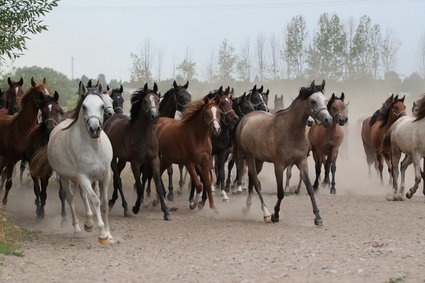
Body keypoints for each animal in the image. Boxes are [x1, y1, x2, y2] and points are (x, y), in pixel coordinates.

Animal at [0, 77, 49, 206]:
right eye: (39, 93)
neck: (23, 129)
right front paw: (4, 202)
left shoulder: (31, 159)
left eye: (49, 92)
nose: (16, 108)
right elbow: (9, 181)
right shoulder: (11, 159)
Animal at [46, 81, 114, 244]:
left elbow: (104, 202)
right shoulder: (83, 177)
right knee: (70, 198)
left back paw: (88, 223)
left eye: (102, 106)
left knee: (83, 196)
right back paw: (77, 226)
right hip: (65, 177)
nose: (95, 129)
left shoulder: (105, 176)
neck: (94, 147)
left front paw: (109, 233)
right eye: (84, 106)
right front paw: (102, 234)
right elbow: (95, 200)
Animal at [232, 80, 332, 226]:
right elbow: (280, 192)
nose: (328, 120)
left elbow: (310, 188)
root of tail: (244, 119)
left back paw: (247, 208)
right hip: (249, 156)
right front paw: (275, 215)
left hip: (259, 160)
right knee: (256, 181)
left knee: (252, 180)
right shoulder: (278, 166)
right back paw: (266, 213)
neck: (290, 131)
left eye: (326, 100)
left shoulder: (302, 162)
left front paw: (318, 218)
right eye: (313, 101)